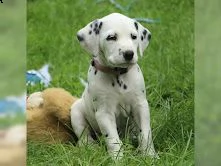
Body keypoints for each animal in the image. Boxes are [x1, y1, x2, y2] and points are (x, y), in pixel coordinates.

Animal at [71, 13, 157, 160]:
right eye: (111, 37)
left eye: (134, 36)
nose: (129, 53)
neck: (118, 75)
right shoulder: (104, 113)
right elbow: (113, 139)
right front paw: (118, 159)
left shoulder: (141, 106)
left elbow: (146, 134)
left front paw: (150, 155)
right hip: (76, 112)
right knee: (83, 135)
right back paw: (91, 147)